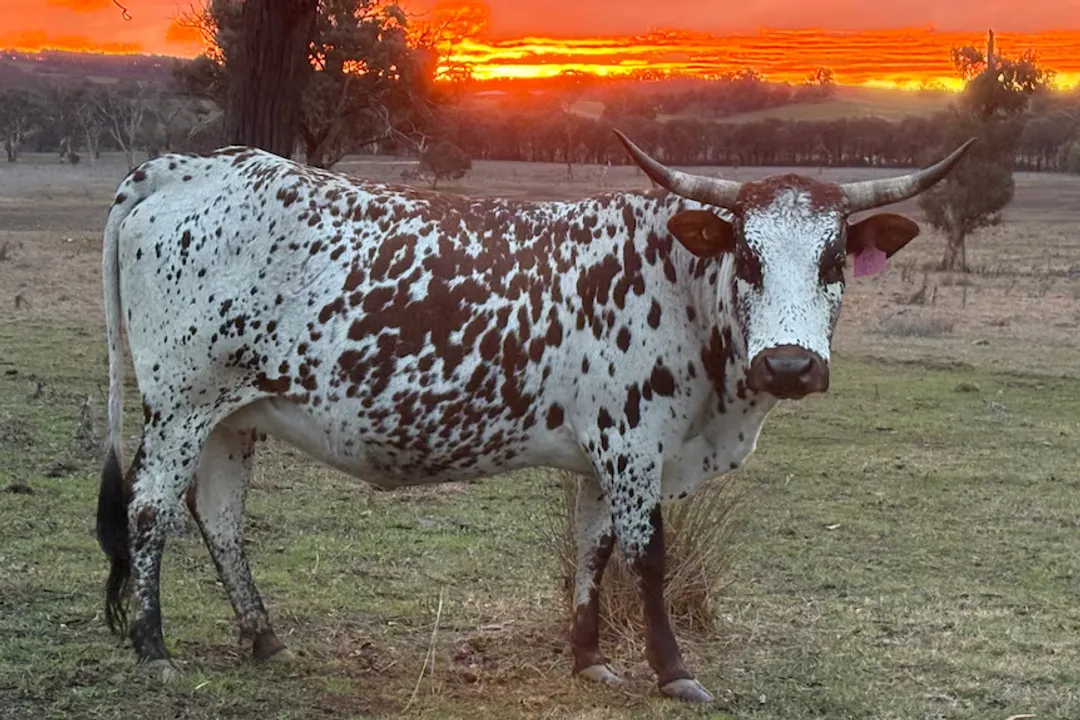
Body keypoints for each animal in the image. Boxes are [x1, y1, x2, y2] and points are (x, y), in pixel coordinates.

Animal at [96, 131, 974, 703]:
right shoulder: (633, 444)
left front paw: (588, 658)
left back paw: (263, 637)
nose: (789, 365)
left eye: (834, 260)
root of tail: (186, 167)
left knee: (219, 516)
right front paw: (673, 671)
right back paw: (153, 648)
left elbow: (593, 550)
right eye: (748, 258)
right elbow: (647, 558)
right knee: (149, 510)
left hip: (234, 416)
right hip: (181, 405)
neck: (677, 282)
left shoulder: (603, 454)